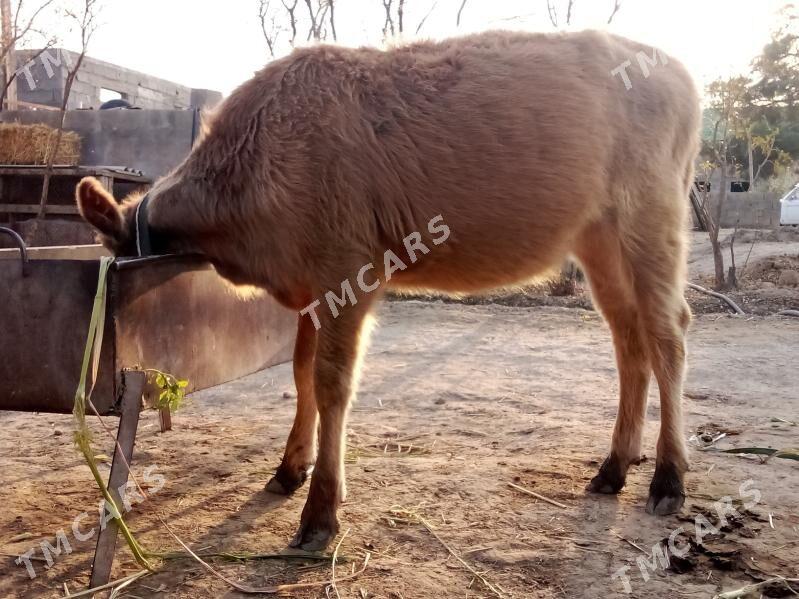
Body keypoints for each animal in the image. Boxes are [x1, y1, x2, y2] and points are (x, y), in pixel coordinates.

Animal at [76, 30, 700, 552]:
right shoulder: (312, 293)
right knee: (630, 341)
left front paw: (320, 513)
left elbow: (332, 384)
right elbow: (301, 374)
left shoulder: (347, 274)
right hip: (599, 242)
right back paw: (614, 467)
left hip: (652, 221)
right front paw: (289, 468)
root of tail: (677, 70)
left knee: (669, 335)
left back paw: (668, 478)